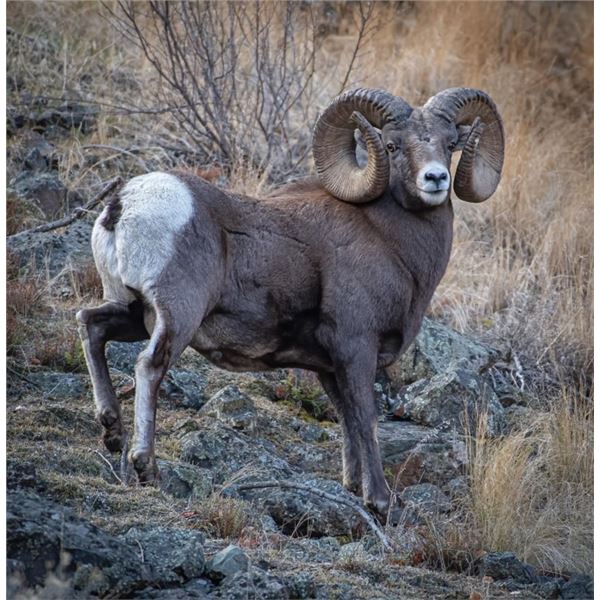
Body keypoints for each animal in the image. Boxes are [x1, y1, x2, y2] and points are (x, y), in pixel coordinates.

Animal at [77, 86, 504, 512]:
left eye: (450, 144)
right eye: (392, 145)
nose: (435, 178)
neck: (388, 239)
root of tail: (123, 206)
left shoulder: (330, 365)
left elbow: (347, 420)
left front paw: (352, 487)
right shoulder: (356, 347)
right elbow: (366, 419)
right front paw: (380, 501)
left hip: (134, 311)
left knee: (90, 324)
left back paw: (111, 430)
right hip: (177, 317)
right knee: (148, 366)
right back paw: (146, 467)